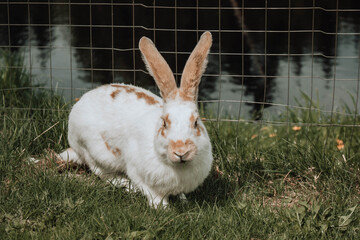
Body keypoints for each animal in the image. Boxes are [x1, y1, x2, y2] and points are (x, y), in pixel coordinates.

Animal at [59, 31, 214, 207]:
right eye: (164, 123)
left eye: (196, 122)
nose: (181, 152)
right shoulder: (138, 173)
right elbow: (153, 194)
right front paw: (162, 208)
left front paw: (183, 200)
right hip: (95, 154)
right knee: (103, 174)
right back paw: (127, 185)